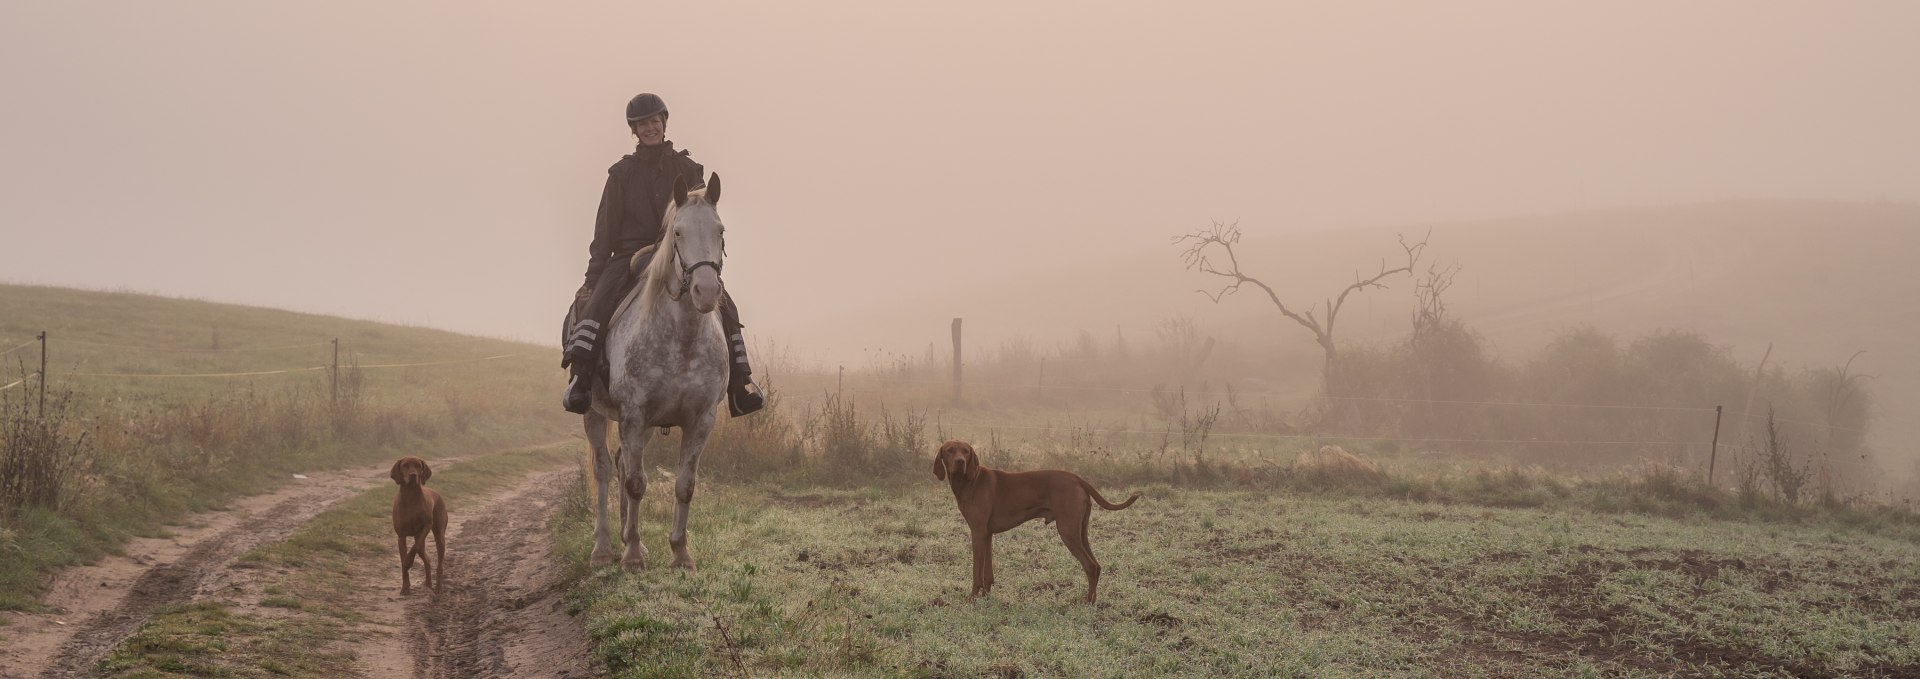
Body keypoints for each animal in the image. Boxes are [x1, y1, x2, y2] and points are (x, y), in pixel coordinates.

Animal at [582, 172, 729, 571]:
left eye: (720, 230)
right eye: (677, 232)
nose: (706, 291)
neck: (682, 340)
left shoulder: (700, 420)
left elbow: (685, 485)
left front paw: (680, 553)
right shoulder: (633, 414)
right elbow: (636, 482)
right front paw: (632, 556)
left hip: (644, 428)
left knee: (620, 464)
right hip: (594, 414)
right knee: (604, 468)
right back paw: (603, 548)